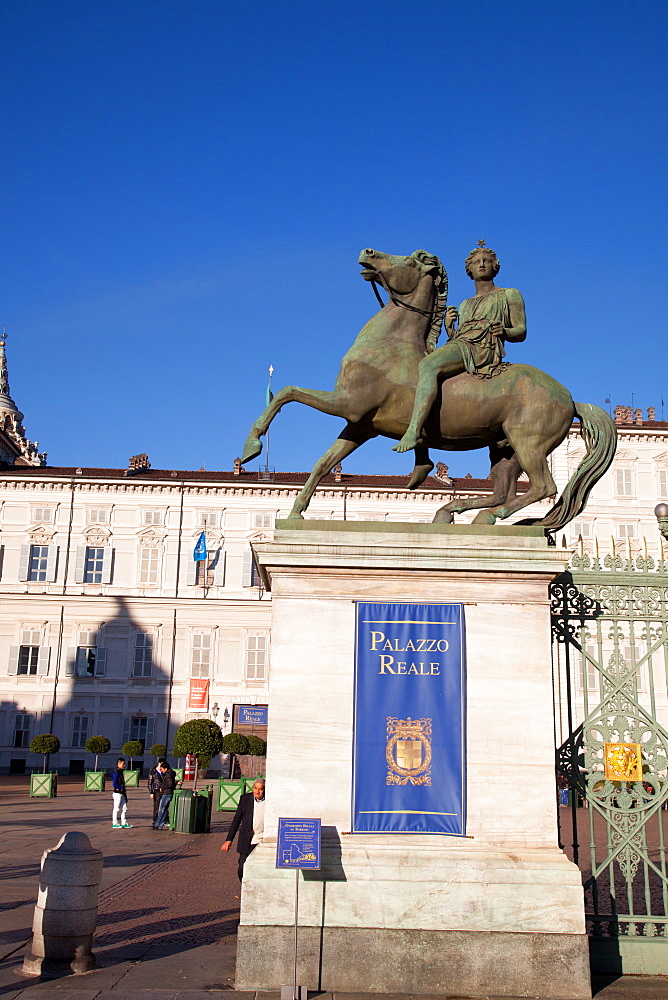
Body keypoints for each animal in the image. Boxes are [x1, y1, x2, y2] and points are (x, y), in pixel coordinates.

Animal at [240, 248, 616, 532]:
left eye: (408, 261)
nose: (367, 251)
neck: (388, 346)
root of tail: (571, 398)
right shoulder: (359, 426)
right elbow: (322, 462)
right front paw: (295, 512)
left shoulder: (349, 405)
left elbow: (287, 392)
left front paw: (251, 447)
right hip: (504, 449)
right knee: (504, 490)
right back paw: (455, 512)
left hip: (528, 443)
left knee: (543, 487)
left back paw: (482, 515)